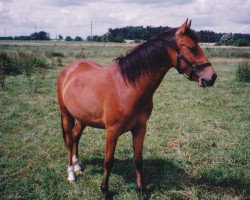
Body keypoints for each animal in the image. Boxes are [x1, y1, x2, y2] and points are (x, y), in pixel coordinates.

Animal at [57, 19, 217, 198]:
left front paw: (142, 189)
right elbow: (108, 161)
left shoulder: (140, 128)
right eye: (191, 47)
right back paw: (71, 174)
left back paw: (77, 166)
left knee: (76, 136)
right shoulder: (112, 131)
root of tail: (69, 69)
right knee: (69, 140)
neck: (127, 87)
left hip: (83, 118)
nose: (212, 77)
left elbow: (138, 160)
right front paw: (105, 190)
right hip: (66, 114)